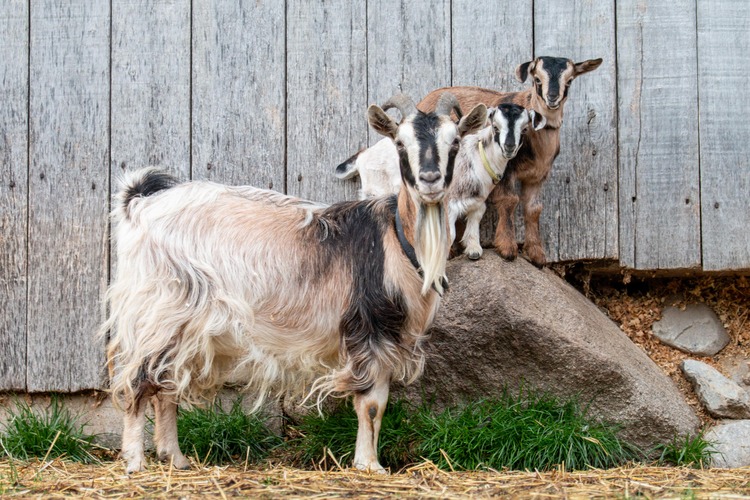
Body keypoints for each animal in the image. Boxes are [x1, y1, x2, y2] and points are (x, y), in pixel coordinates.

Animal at [101, 93, 487, 474]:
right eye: (400, 144)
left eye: (454, 142)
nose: (430, 179)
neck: (396, 238)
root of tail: (140, 203)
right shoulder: (369, 328)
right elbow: (372, 404)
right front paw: (369, 465)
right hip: (160, 309)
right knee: (138, 380)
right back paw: (134, 462)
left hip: (185, 323)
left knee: (165, 382)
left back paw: (176, 459)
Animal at [335, 102, 544, 260]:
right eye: (495, 127)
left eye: (525, 129)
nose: (509, 147)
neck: (476, 156)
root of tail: (362, 156)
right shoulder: (448, 203)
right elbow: (450, 235)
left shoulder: (478, 200)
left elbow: (476, 217)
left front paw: (473, 250)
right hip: (374, 190)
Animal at [418, 56, 602, 266]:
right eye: (537, 80)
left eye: (570, 80)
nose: (552, 98)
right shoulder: (506, 172)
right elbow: (510, 200)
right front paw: (507, 248)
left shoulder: (537, 177)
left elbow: (534, 208)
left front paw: (537, 254)